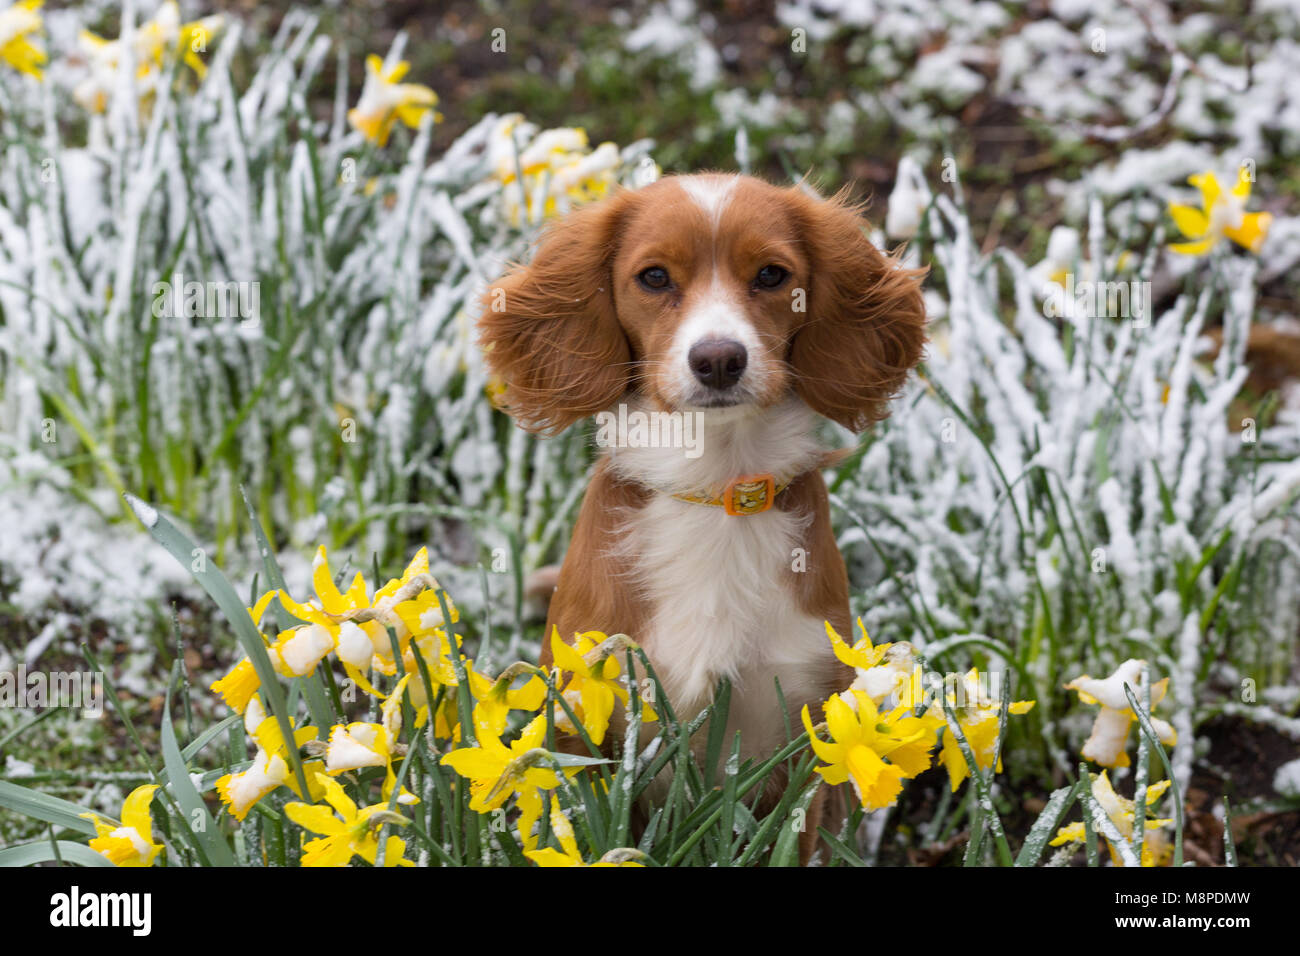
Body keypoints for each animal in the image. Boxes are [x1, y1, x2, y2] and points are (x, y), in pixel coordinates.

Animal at [478, 171, 925, 858]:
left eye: (771, 275)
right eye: (654, 277)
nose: (718, 359)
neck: (713, 487)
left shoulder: (802, 735)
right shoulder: (589, 718)